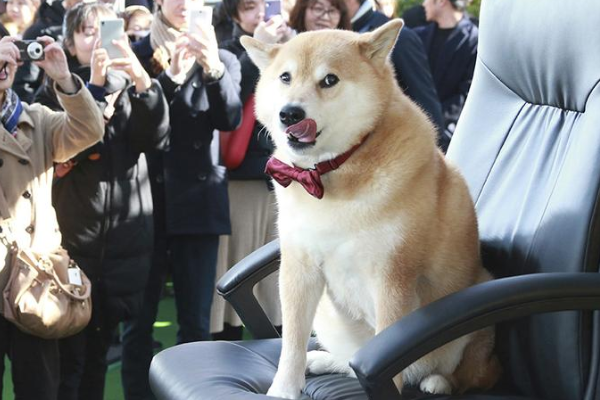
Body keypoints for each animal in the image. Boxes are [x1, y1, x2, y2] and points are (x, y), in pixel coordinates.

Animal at [241, 19, 500, 400]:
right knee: (351, 361)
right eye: (285, 77)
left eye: (329, 80)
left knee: (468, 374)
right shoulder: (299, 265)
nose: (289, 113)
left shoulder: (392, 275)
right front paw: (283, 389)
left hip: (478, 306)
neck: (330, 174)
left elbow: (387, 350)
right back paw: (325, 360)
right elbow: (291, 341)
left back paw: (438, 381)